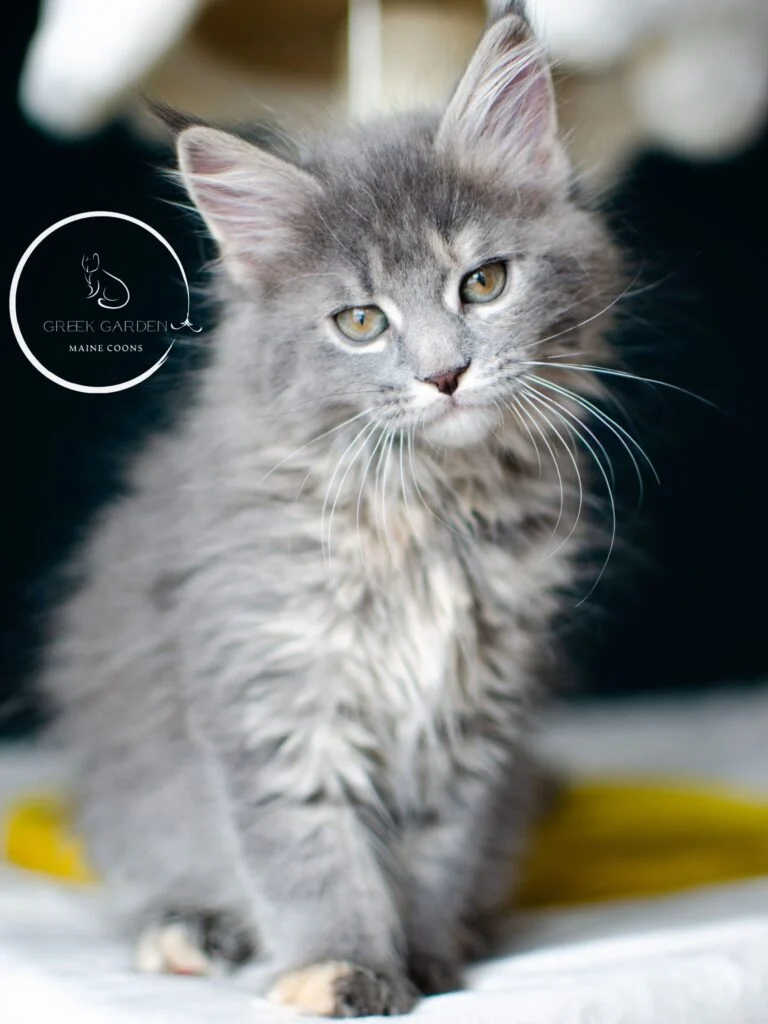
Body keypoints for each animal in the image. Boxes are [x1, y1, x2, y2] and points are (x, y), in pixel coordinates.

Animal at [39, 6, 622, 1015]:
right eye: (361, 323)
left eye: (483, 283)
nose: (445, 374)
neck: (426, 507)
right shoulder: (274, 684)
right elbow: (313, 861)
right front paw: (340, 968)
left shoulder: (477, 711)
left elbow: (435, 856)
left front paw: (424, 960)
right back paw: (189, 934)